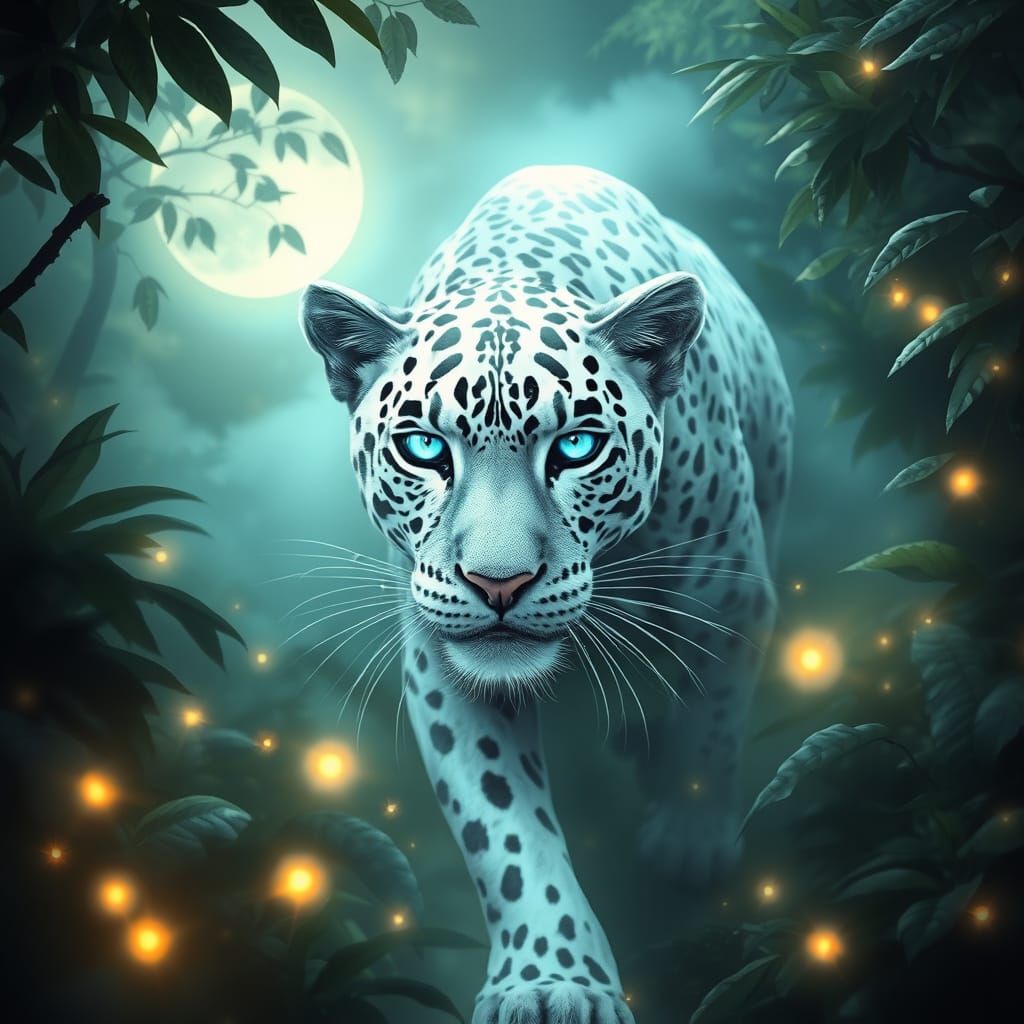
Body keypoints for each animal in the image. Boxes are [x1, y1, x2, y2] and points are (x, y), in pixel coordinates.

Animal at [300, 165, 792, 1024]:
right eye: (422, 447)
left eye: (577, 446)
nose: (498, 582)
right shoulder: (443, 661)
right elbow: (504, 830)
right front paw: (552, 981)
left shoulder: (730, 592)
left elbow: (713, 725)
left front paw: (689, 843)